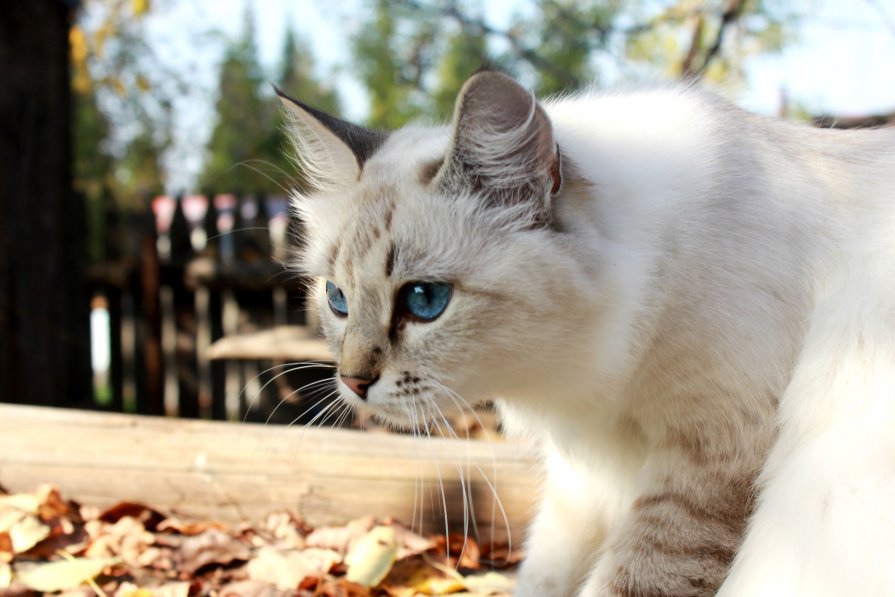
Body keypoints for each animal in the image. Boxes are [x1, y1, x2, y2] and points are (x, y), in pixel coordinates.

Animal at [274, 71, 895, 596]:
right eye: (337, 299)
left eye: (425, 300)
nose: (353, 382)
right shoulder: (584, 480)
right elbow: (543, 576)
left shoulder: (715, 451)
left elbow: (630, 577)